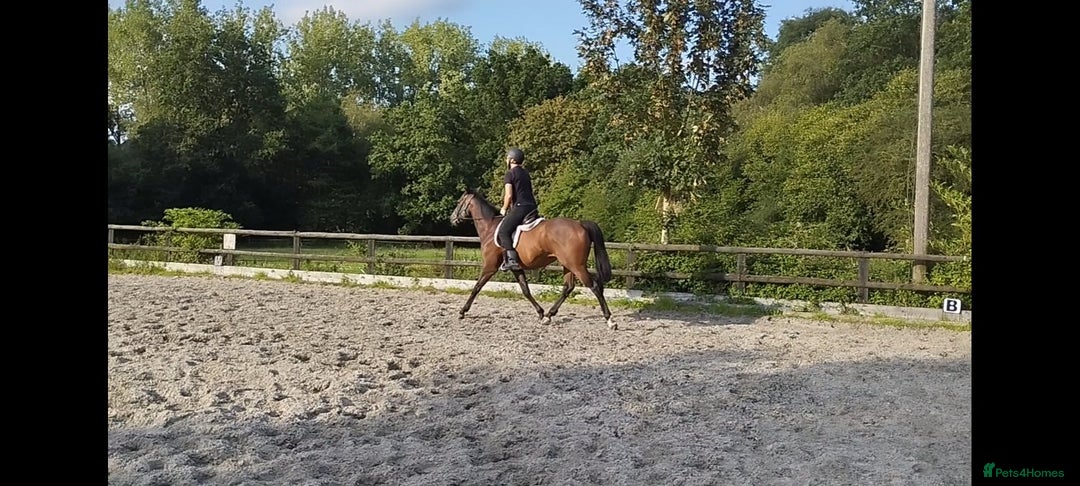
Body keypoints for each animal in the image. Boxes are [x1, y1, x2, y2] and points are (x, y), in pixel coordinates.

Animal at [450, 188, 617, 330]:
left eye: (459, 202)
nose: (452, 219)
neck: (490, 227)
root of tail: (580, 224)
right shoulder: (516, 268)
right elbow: (526, 290)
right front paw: (540, 312)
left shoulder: (489, 266)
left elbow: (476, 287)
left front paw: (462, 311)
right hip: (568, 265)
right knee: (568, 287)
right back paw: (549, 316)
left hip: (577, 265)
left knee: (594, 286)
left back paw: (610, 320)